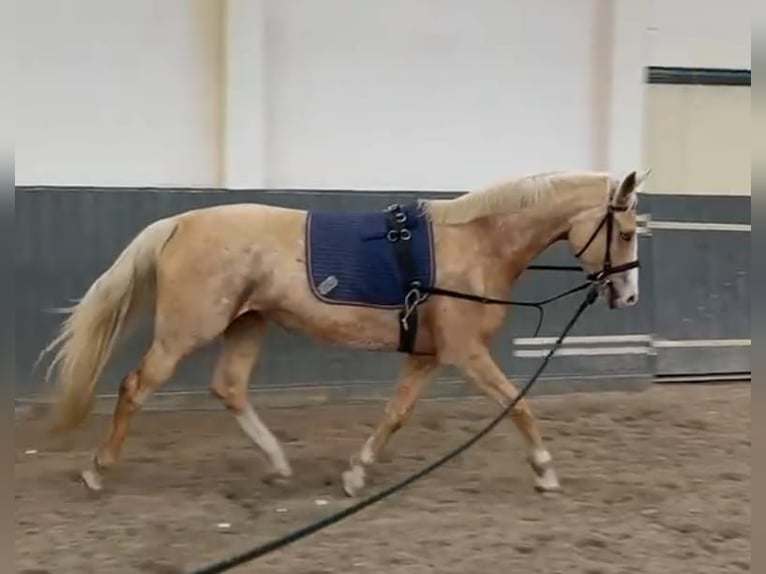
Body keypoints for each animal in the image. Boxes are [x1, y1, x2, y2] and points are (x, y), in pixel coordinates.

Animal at [39, 168, 648, 496]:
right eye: (623, 231)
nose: (628, 296)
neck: (474, 246)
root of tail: (179, 222)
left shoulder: (428, 355)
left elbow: (396, 414)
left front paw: (356, 474)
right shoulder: (466, 353)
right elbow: (519, 406)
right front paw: (545, 473)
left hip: (247, 324)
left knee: (229, 388)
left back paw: (279, 465)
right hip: (187, 331)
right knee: (135, 388)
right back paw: (97, 471)